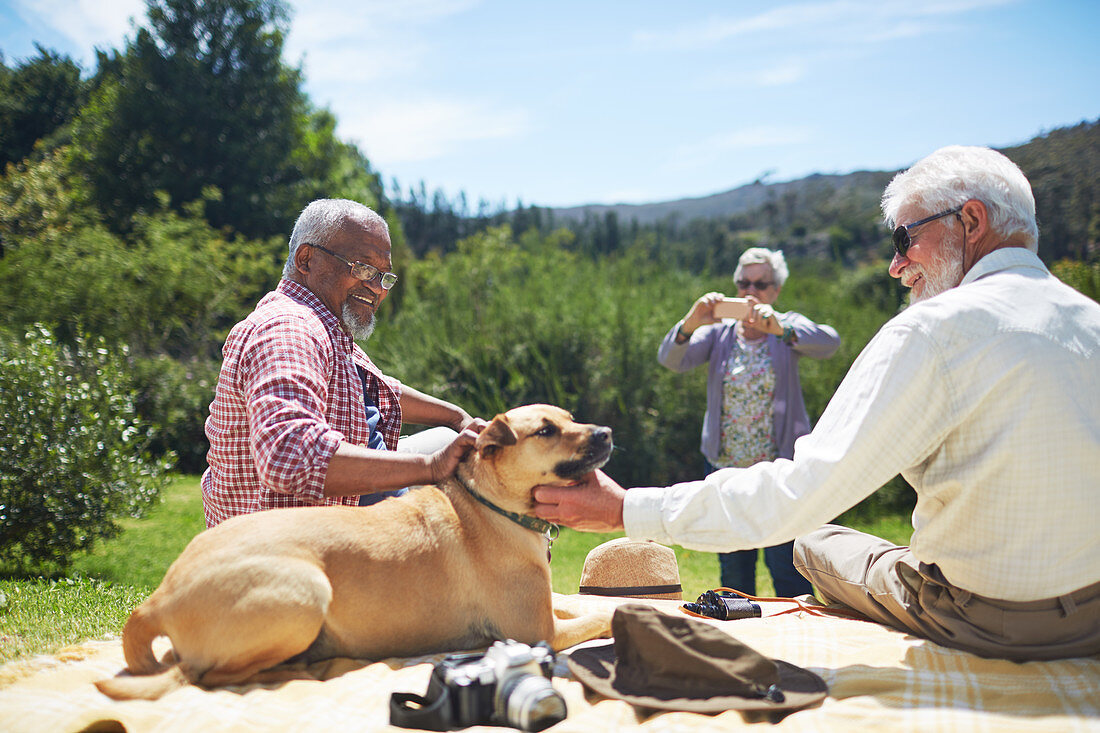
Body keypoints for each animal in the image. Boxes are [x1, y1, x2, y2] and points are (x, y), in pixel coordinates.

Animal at [95, 405, 616, 695]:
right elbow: (598, 616)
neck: (492, 502)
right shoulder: (538, 632)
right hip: (305, 592)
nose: (606, 433)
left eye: (570, 420)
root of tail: (158, 598)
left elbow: (578, 606)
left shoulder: (547, 609)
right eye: (546, 431)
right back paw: (298, 670)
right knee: (204, 675)